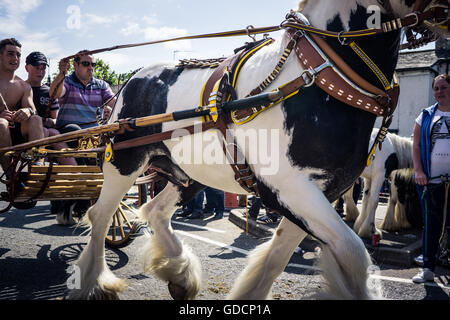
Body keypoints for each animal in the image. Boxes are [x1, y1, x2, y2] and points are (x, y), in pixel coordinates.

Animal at [69, 0, 442, 300]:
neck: (321, 76)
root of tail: (132, 78)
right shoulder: (289, 187)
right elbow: (353, 253)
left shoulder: (314, 192)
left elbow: (279, 254)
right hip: (123, 161)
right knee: (101, 215)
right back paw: (96, 282)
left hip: (188, 174)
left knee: (156, 211)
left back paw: (179, 273)